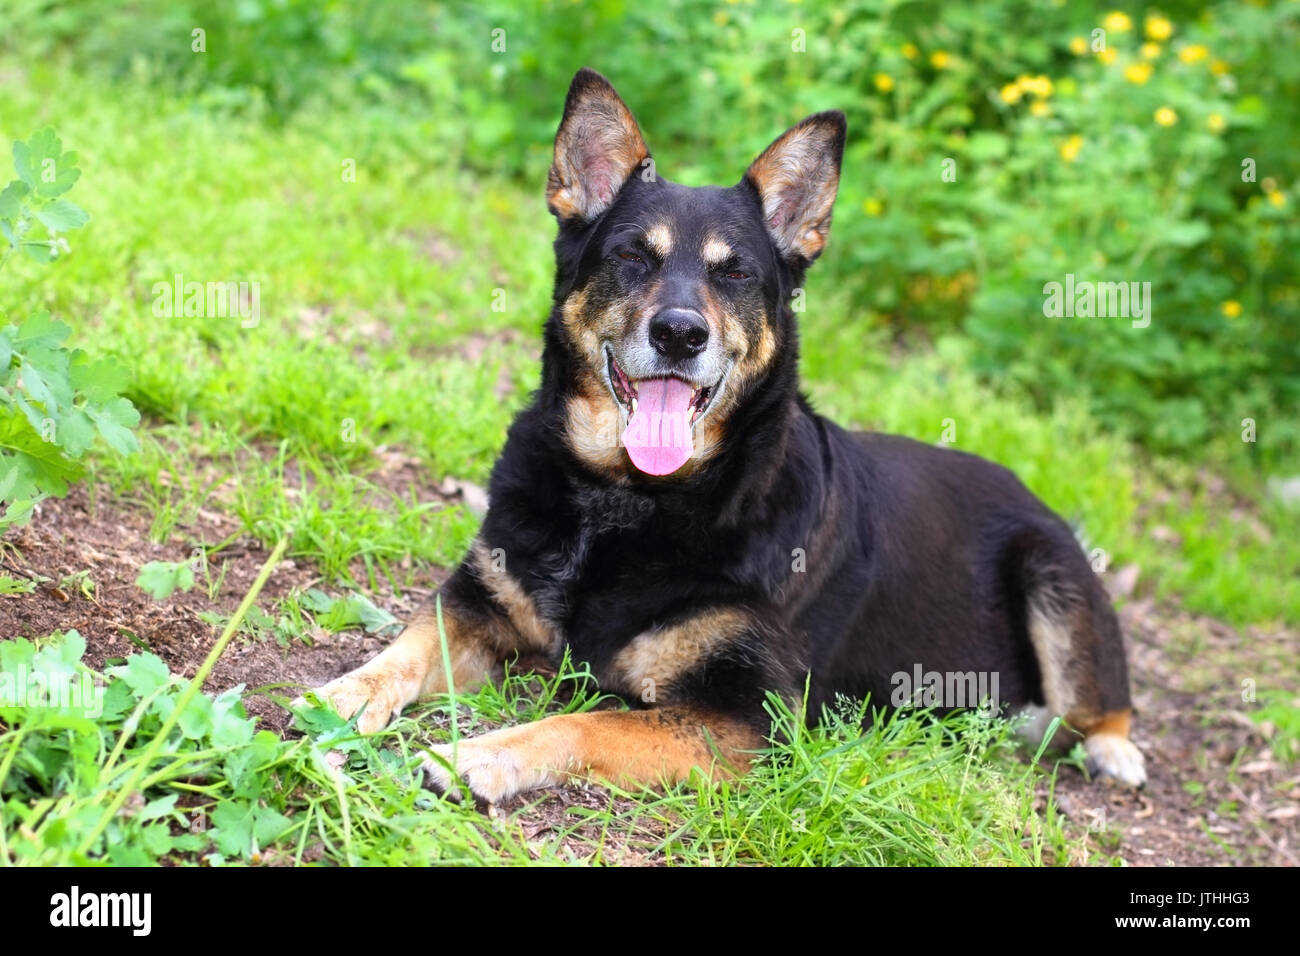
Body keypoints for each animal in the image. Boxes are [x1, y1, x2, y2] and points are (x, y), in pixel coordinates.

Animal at [309, 65, 1144, 801]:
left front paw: (478, 755)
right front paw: (344, 694)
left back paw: (1107, 750)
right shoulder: (478, 602)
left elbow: (585, 722)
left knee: (1100, 706)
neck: (627, 499)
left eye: (734, 272)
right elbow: (407, 645)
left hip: (1053, 578)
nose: (680, 334)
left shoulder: (746, 719)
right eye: (632, 255)